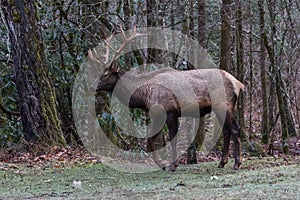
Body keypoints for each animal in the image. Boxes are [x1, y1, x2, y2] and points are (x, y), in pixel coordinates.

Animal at [89, 27, 244, 172]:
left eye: (106, 74)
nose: (91, 86)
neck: (143, 96)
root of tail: (238, 83)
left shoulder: (170, 111)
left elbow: (169, 140)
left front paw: (172, 165)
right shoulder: (158, 114)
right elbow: (151, 140)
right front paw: (163, 164)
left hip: (224, 106)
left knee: (235, 129)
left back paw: (236, 163)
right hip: (220, 109)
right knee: (226, 131)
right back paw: (222, 162)